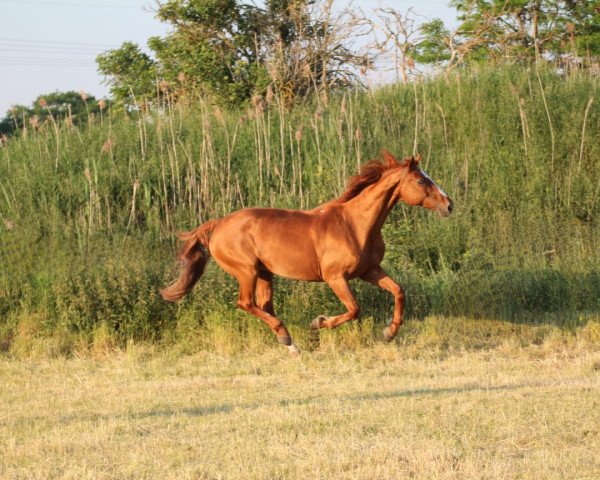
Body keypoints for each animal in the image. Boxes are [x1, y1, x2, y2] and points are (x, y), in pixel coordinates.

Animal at [162, 150, 452, 356]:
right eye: (420, 179)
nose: (449, 205)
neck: (355, 224)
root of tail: (218, 224)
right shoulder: (336, 277)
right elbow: (354, 309)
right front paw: (318, 323)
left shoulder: (370, 270)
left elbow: (398, 291)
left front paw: (389, 333)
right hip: (247, 271)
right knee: (246, 303)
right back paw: (288, 338)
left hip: (265, 273)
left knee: (264, 305)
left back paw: (289, 344)